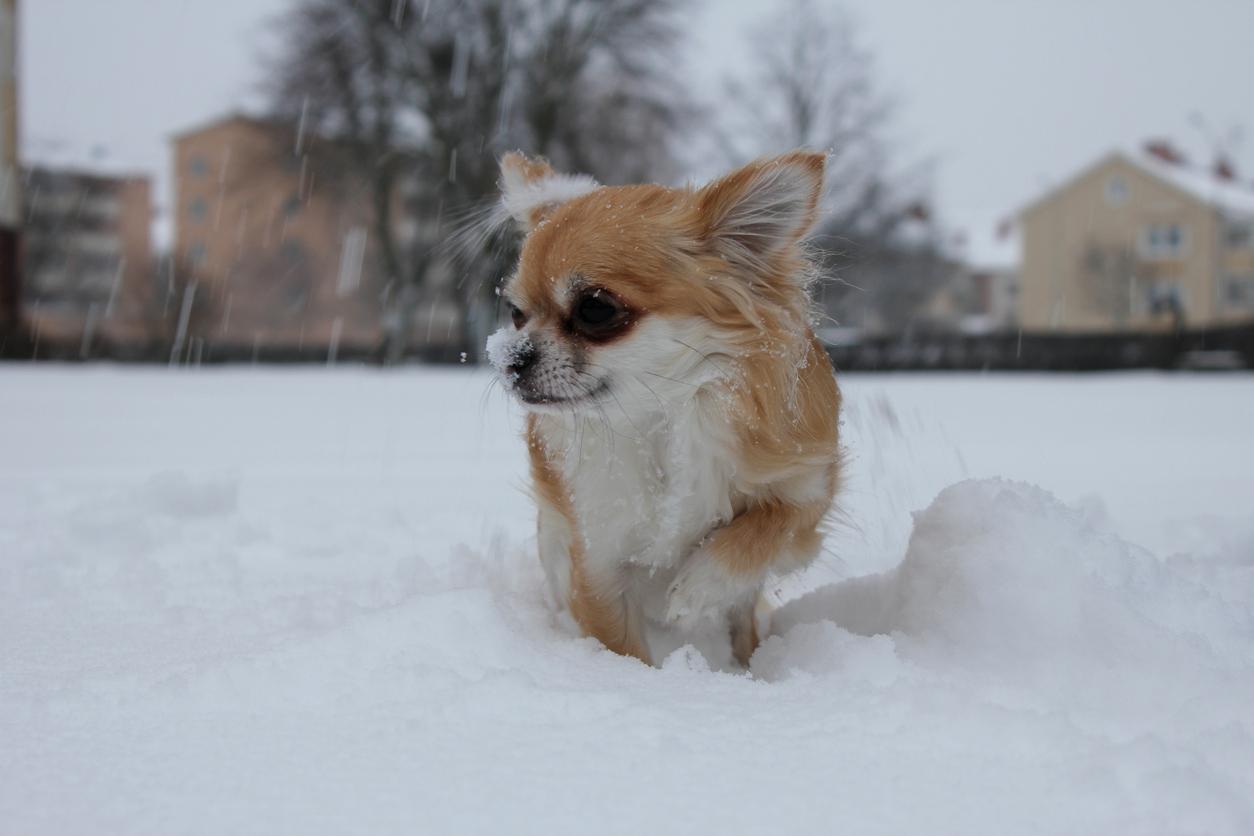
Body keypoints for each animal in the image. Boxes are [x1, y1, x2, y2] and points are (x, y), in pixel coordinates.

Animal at [486, 150, 842, 671]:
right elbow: (622, 647)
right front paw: (648, 684)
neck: (657, 417)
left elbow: (766, 526)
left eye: (595, 309)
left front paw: (698, 589)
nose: (510, 358)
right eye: (516, 314)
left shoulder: (808, 492)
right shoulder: (596, 558)